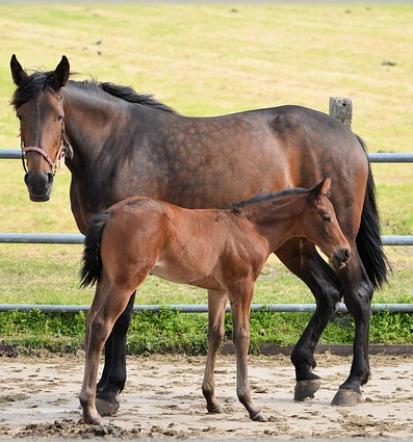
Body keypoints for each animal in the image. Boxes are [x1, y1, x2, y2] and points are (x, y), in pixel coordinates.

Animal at [9, 54, 388, 410]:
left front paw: (110, 389)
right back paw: (305, 371)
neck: (116, 147)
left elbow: (123, 317)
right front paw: (104, 386)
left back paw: (352, 384)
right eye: (20, 114)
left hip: (338, 238)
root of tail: (349, 138)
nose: (38, 181)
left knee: (357, 292)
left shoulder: (132, 255)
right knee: (327, 291)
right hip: (296, 242)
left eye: (59, 116)